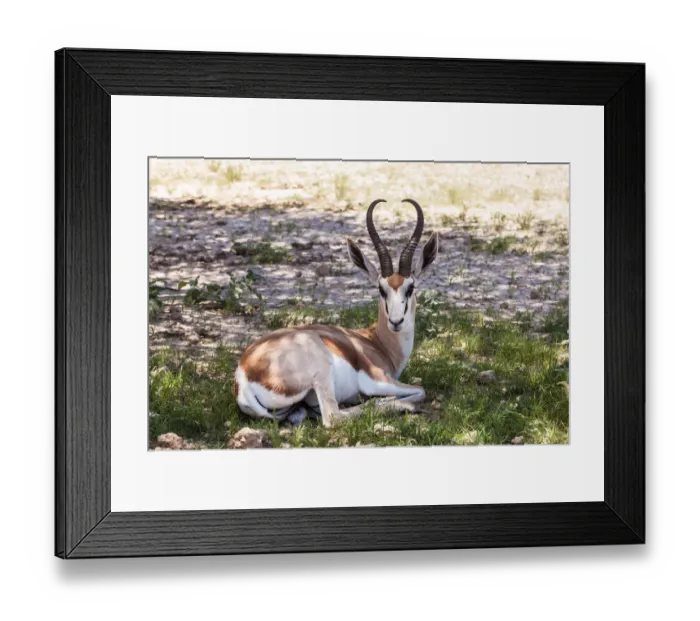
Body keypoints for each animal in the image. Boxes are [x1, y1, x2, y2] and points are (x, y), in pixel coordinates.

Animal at [234, 199, 439, 428]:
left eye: (410, 287)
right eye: (381, 289)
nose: (396, 321)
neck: (377, 343)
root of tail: (244, 374)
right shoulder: (377, 379)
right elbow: (420, 390)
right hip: (322, 372)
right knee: (333, 416)